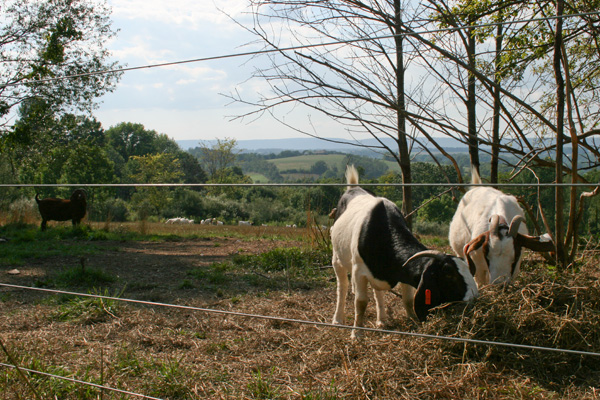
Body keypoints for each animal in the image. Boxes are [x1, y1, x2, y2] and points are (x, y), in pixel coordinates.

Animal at [328, 164, 478, 336]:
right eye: (449, 274)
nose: (474, 296)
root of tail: (353, 187)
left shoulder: (403, 270)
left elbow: (407, 299)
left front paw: (413, 320)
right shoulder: (359, 270)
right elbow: (361, 302)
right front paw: (357, 333)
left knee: (377, 291)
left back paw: (381, 320)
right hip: (337, 259)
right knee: (342, 286)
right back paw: (338, 319)